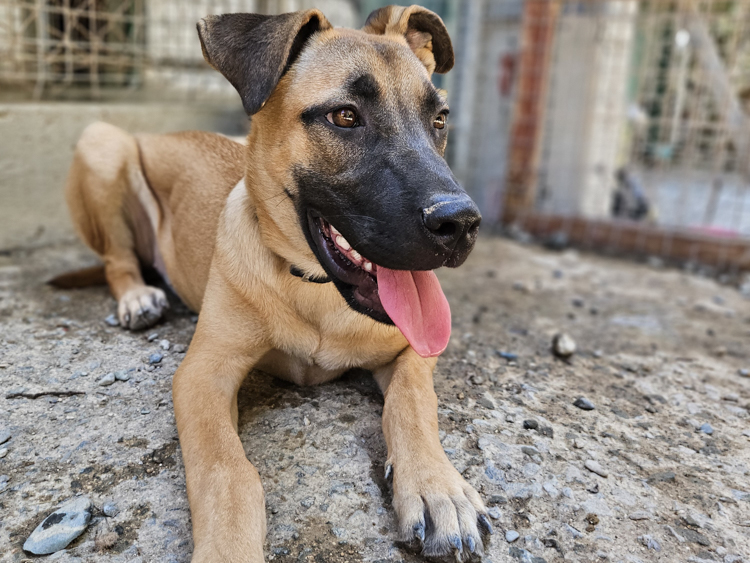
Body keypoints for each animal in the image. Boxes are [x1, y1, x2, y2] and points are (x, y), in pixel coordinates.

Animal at [58, 5, 488, 563]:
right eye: (344, 116)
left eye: (439, 119)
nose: (461, 224)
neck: (316, 290)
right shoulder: (203, 374)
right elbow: (227, 472)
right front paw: (228, 548)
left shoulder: (414, 348)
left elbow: (413, 402)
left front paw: (439, 489)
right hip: (102, 142)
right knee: (117, 259)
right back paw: (138, 296)